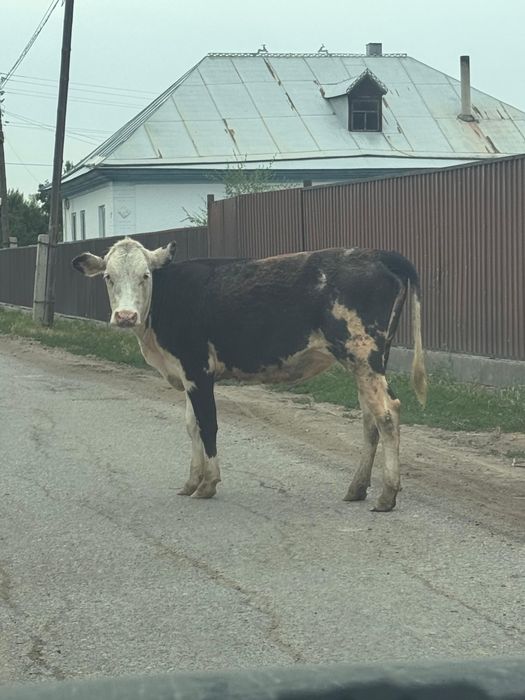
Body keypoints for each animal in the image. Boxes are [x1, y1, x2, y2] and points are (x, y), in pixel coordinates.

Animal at [72, 238, 427, 512]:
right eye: (108, 277)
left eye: (145, 275)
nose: (125, 316)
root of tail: (378, 253)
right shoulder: (187, 375)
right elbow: (191, 426)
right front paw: (191, 481)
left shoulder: (199, 371)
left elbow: (208, 425)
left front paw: (208, 484)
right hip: (366, 362)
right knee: (370, 420)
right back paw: (357, 488)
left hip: (363, 355)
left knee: (387, 414)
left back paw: (387, 495)